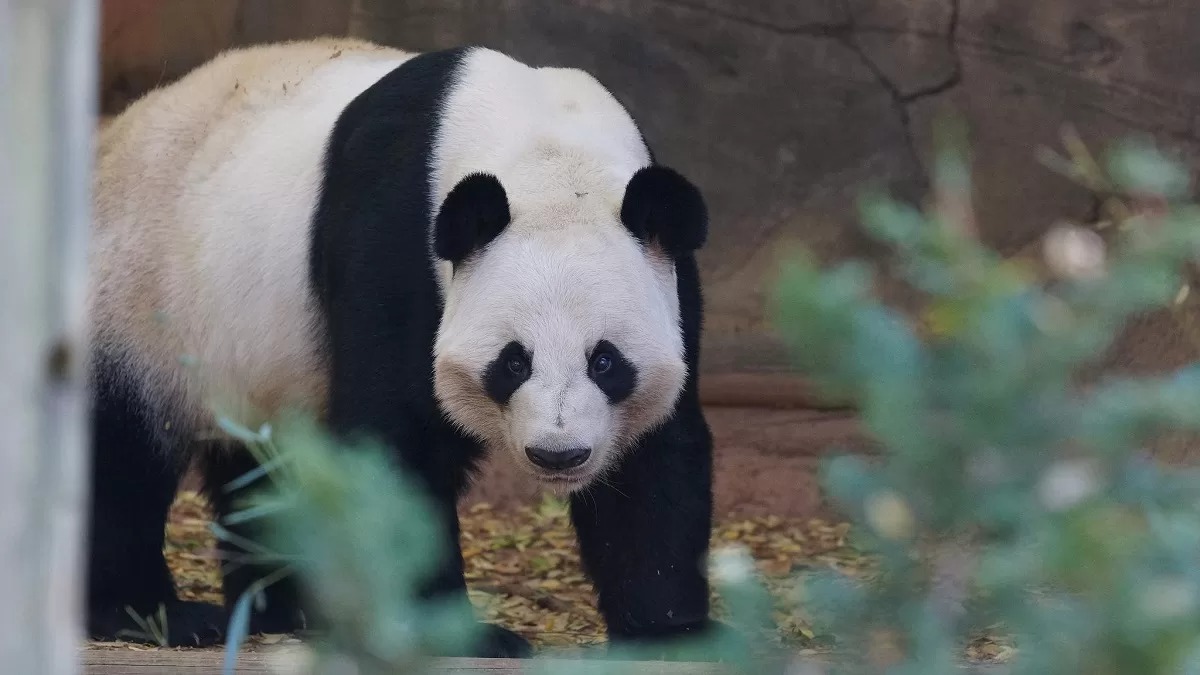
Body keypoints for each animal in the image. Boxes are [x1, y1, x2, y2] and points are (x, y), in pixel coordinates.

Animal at [87, 38, 715, 658]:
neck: (548, 157)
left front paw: (669, 633)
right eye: (513, 361)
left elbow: (655, 457)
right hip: (138, 298)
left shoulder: (670, 279)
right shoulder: (394, 243)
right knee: (120, 459)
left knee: (261, 467)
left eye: (605, 361)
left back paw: (287, 609)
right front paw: (461, 635)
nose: (558, 455)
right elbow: (396, 441)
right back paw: (157, 616)